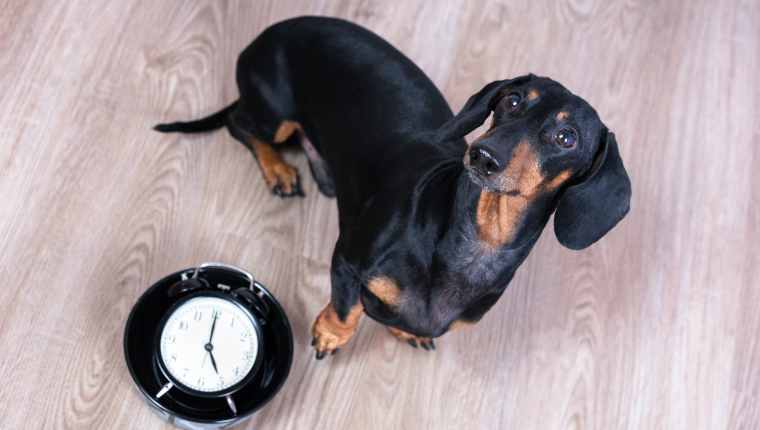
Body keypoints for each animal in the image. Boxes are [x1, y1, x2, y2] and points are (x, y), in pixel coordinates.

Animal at [154, 16, 628, 358]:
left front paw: (405, 330)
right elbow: (348, 308)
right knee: (239, 125)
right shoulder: (346, 260)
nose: (483, 155)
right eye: (512, 101)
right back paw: (278, 170)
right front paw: (330, 333)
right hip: (274, 113)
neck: (474, 240)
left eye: (567, 138)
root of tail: (263, 37)